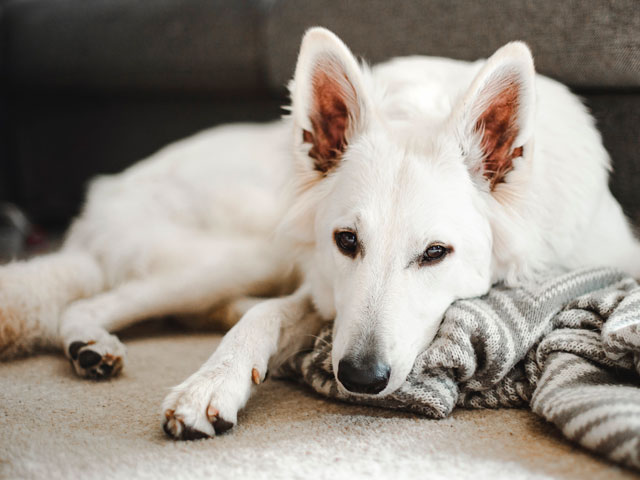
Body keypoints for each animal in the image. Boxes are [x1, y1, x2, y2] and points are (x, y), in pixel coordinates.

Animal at [1, 26, 640, 438]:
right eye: (347, 242)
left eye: (436, 253)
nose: (359, 377)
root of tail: (104, 192)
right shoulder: (322, 287)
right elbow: (266, 318)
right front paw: (212, 382)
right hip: (246, 250)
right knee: (94, 301)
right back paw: (92, 342)